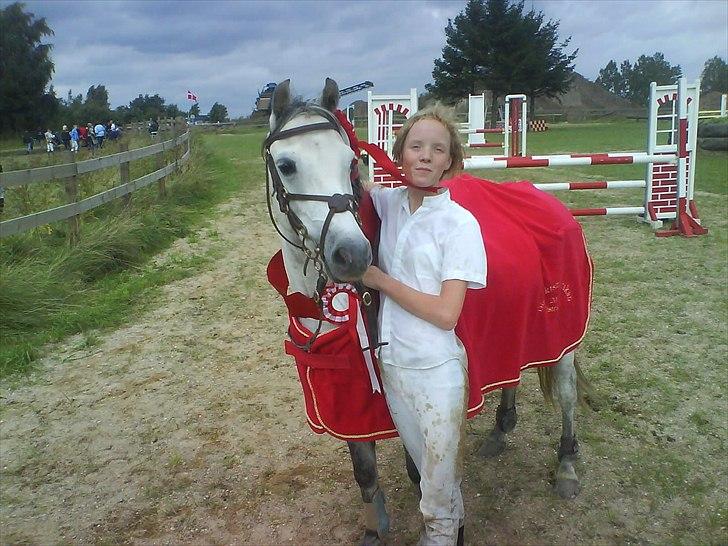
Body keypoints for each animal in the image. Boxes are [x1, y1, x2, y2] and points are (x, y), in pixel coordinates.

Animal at [263, 78, 590, 546]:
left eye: (351, 164)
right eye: (287, 165)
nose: (352, 254)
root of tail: (549, 202)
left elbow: (420, 475)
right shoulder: (347, 405)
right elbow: (365, 472)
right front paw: (373, 528)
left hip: (562, 341)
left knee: (565, 396)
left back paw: (565, 466)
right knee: (511, 374)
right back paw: (500, 427)